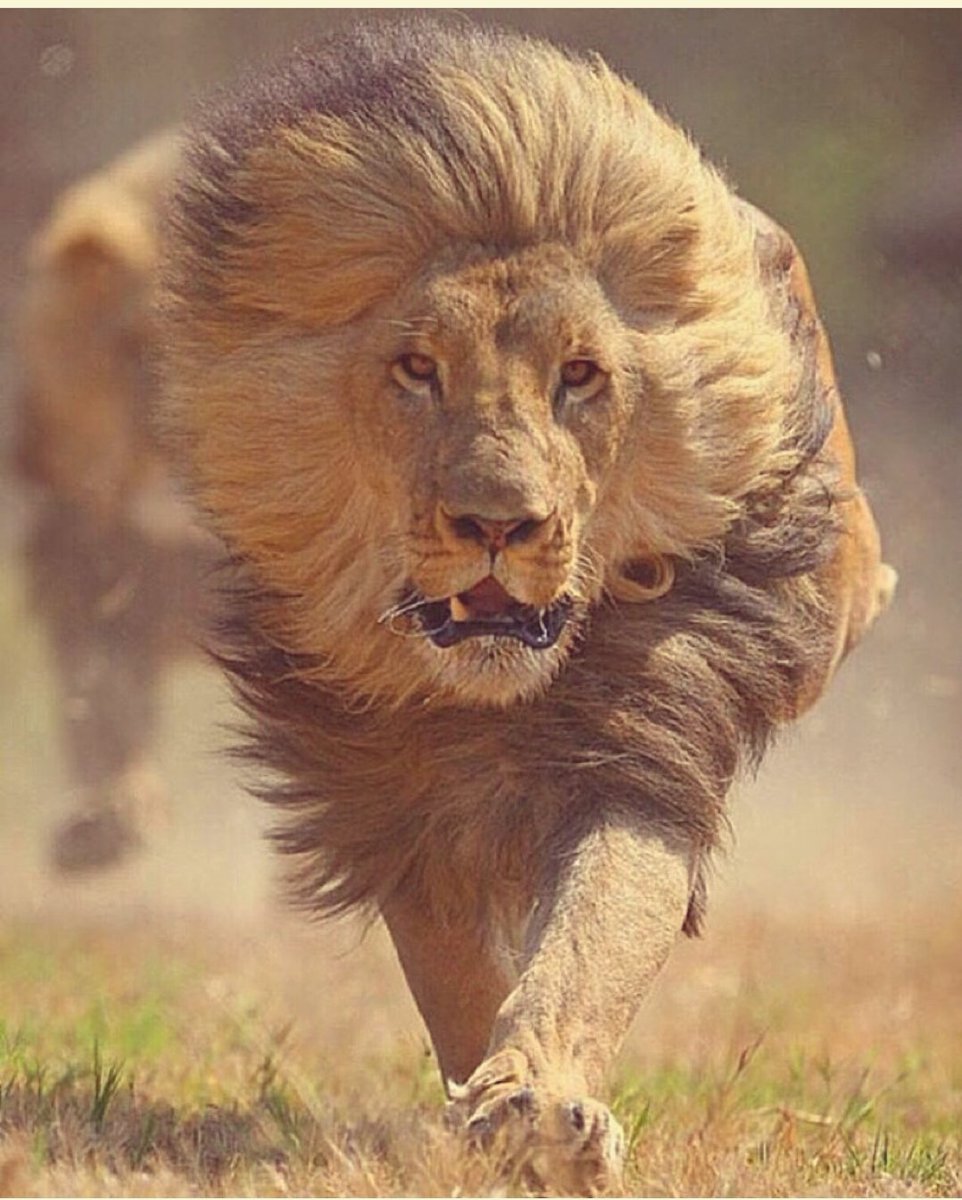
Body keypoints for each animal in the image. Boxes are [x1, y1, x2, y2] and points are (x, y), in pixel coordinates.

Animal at [158, 19, 895, 1192]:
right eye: (417, 369)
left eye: (580, 376)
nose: (499, 523)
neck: (488, 696)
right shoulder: (389, 790)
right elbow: (457, 971)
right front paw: (504, 1118)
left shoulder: (641, 742)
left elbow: (593, 934)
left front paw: (539, 1110)